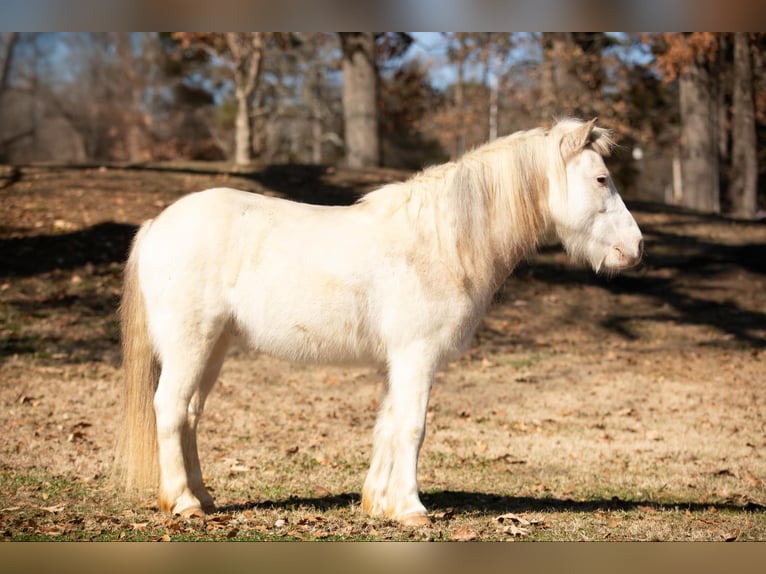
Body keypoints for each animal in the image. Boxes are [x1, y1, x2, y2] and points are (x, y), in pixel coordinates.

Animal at [114, 118, 643, 526]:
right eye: (601, 180)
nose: (636, 248)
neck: (440, 242)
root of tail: (156, 226)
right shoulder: (416, 357)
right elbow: (412, 427)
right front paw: (411, 508)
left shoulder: (397, 363)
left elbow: (387, 425)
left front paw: (380, 503)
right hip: (191, 346)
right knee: (169, 409)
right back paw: (183, 503)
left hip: (215, 348)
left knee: (190, 415)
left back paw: (203, 498)